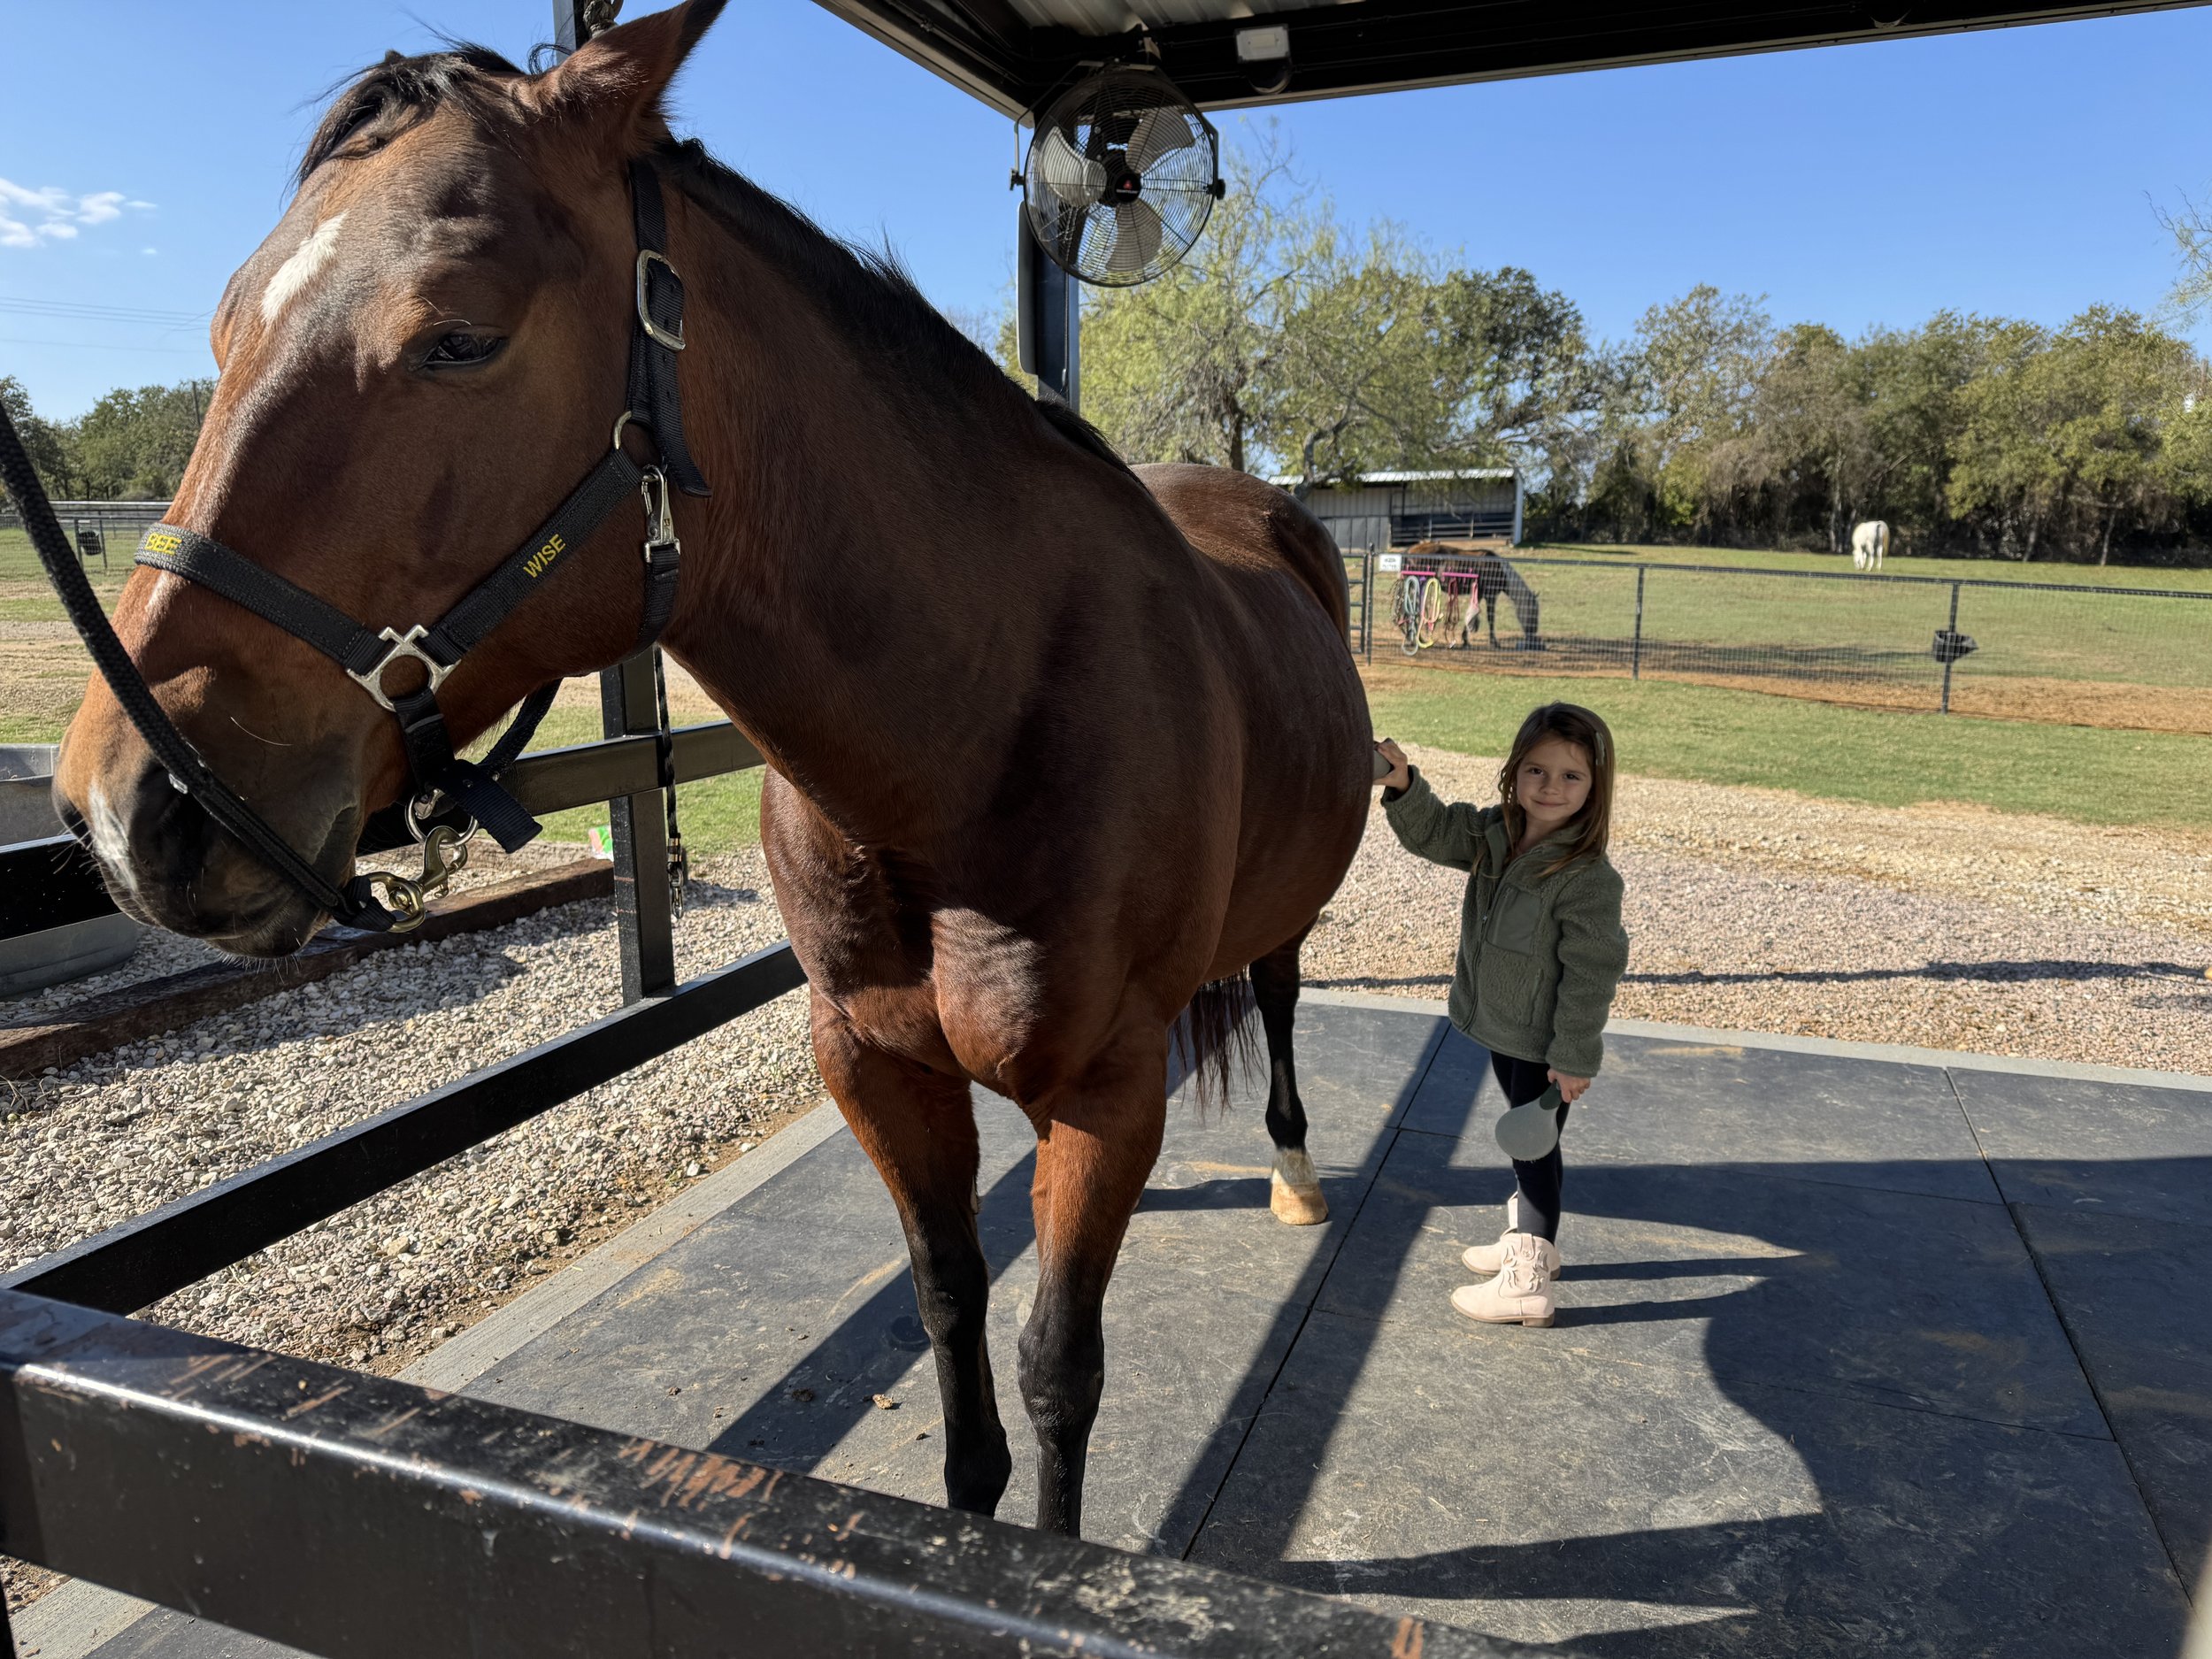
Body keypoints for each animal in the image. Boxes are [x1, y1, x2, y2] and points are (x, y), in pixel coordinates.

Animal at [49, 0, 1371, 1541]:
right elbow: (950, 1315)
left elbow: (1057, 1371)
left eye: (460, 336)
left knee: (1277, 992)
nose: (132, 808)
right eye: (227, 322)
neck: (975, 736)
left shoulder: (1106, 1094)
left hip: (1276, 923)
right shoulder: (870, 1063)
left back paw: (1297, 1173)